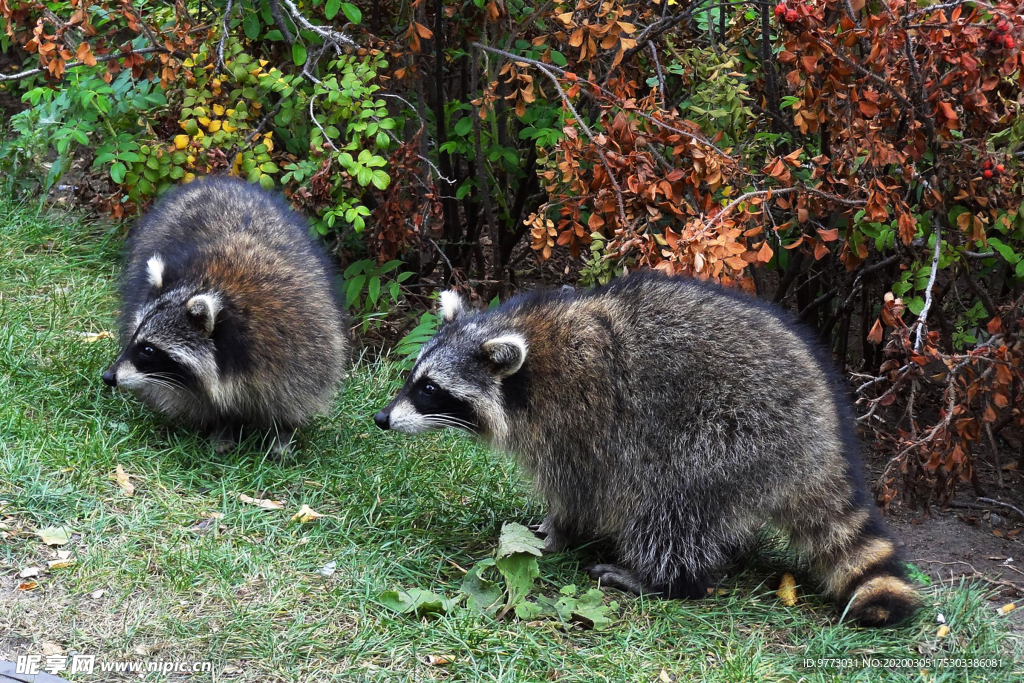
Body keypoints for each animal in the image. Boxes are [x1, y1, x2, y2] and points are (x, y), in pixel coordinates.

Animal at [103, 176, 350, 454]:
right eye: (137, 337)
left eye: (148, 350)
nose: (108, 377)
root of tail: (219, 181)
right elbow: (203, 401)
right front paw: (221, 427)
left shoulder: (301, 340)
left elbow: (295, 390)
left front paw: (282, 433)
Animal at [374, 270, 921, 626]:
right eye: (414, 377)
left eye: (430, 390)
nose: (380, 419)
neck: (527, 359)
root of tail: (823, 434)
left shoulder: (578, 421)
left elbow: (579, 488)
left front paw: (556, 532)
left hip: (734, 434)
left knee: (670, 504)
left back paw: (663, 580)